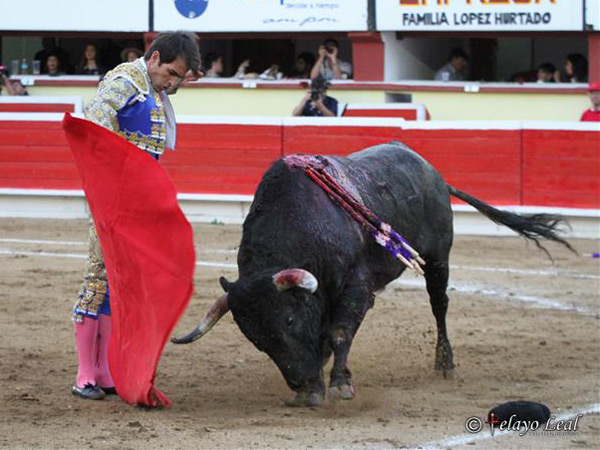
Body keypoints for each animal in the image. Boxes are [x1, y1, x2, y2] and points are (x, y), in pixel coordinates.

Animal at [170, 144, 572, 408]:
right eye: (254, 338)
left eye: (288, 319)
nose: (298, 381)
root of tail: (434, 174)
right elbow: (324, 338)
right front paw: (315, 387)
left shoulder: (355, 286)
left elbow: (338, 332)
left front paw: (337, 385)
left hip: (437, 259)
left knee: (439, 306)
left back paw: (445, 364)